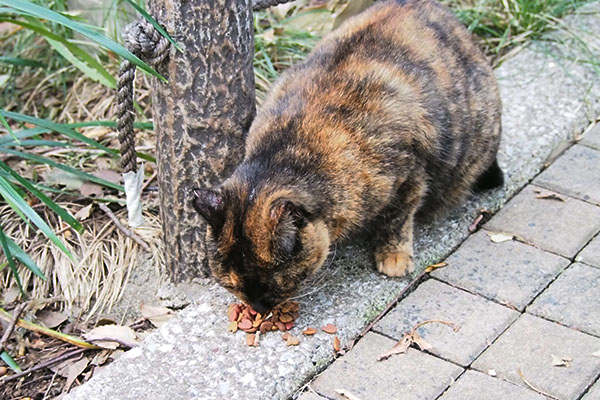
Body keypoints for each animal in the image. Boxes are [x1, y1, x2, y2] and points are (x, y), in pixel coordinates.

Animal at [192, 0, 502, 312]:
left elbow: (397, 217)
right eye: (232, 284)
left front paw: (393, 255)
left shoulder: (410, 174)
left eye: (274, 282)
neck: (287, 148)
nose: (259, 308)